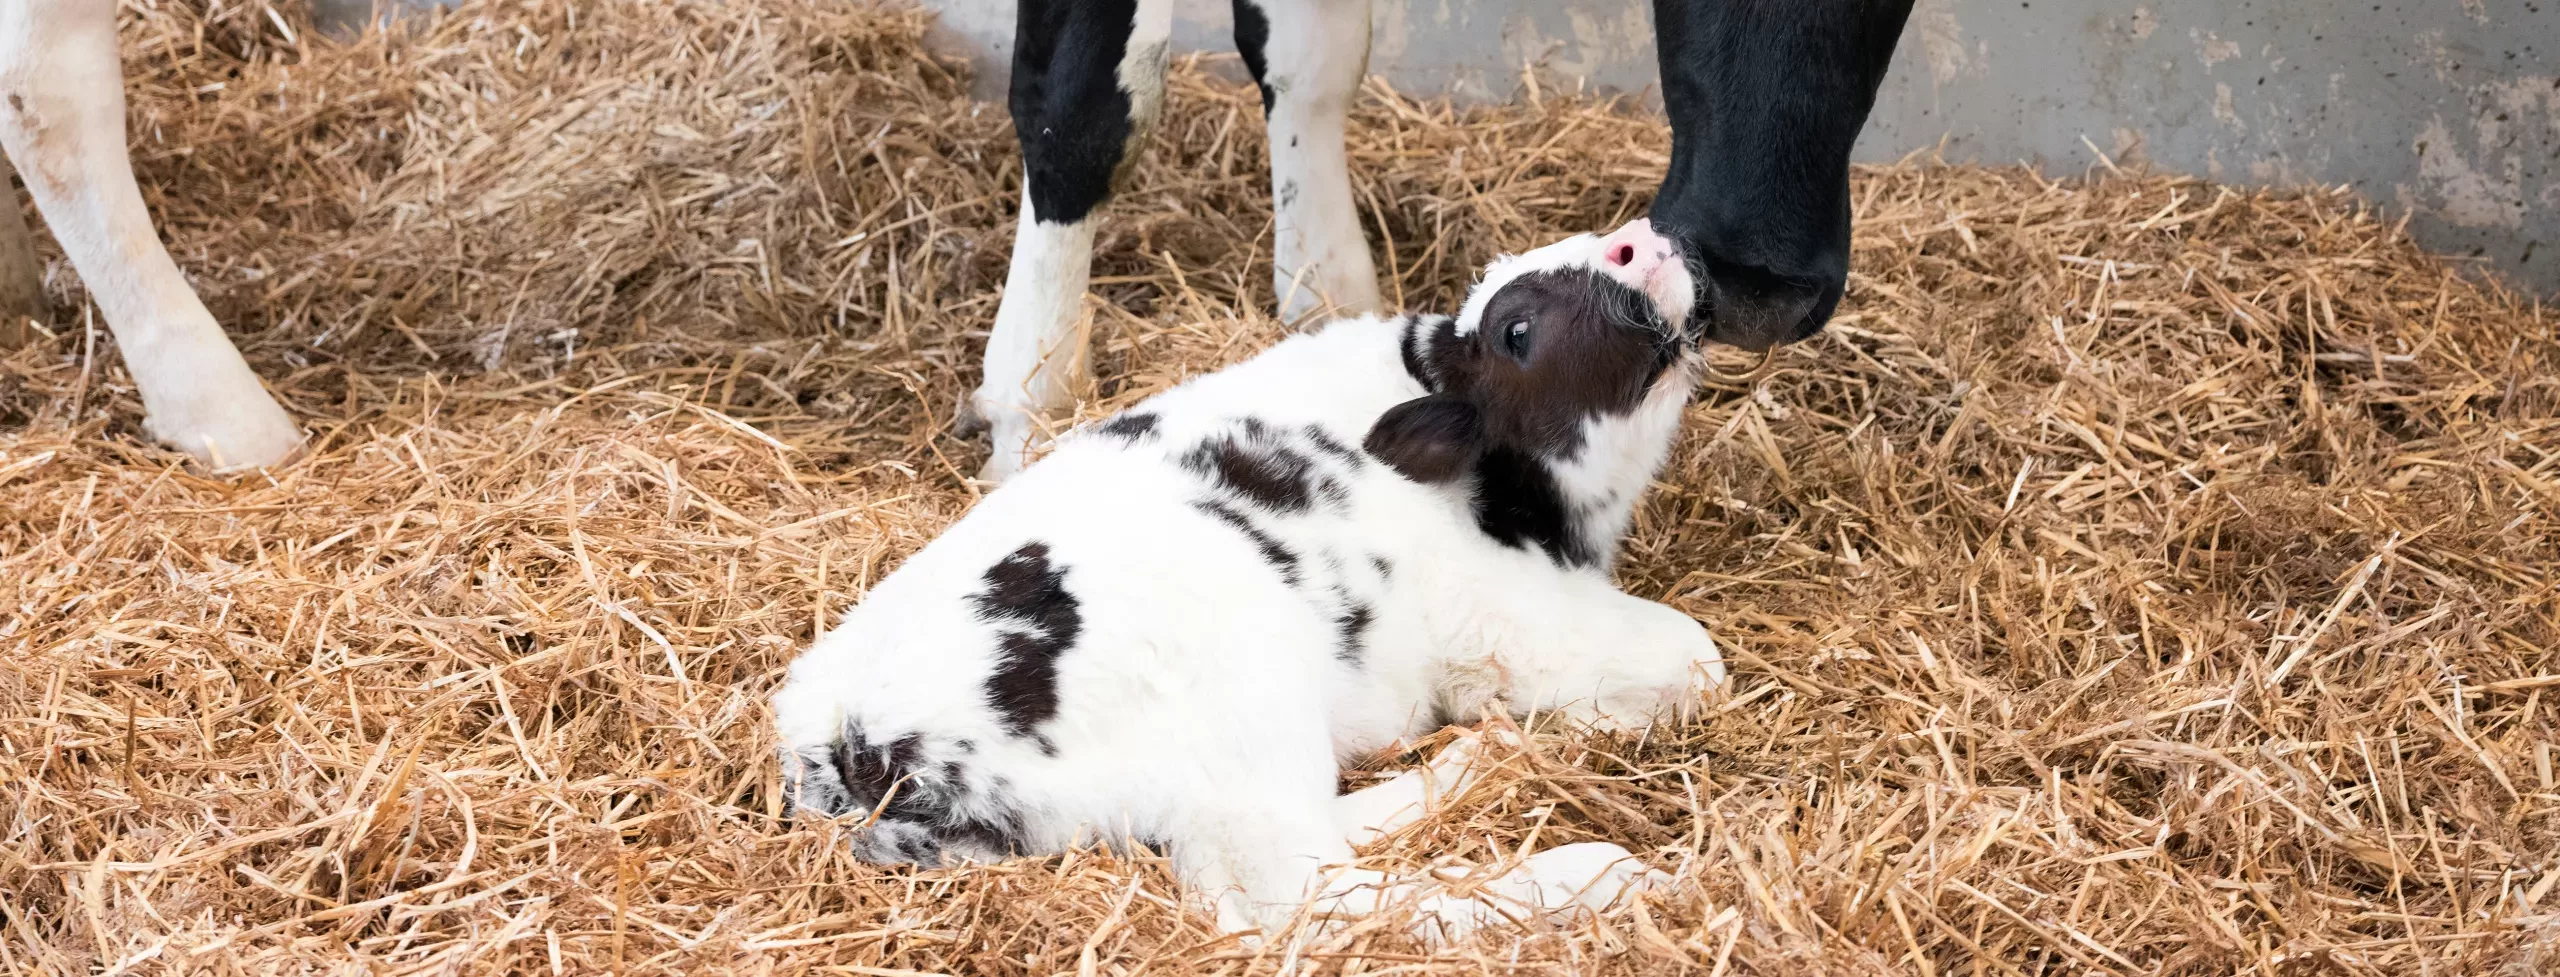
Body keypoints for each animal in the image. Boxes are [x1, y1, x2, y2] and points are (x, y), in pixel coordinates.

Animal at [774, 223, 1730, 936]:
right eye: (1516, 331)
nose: (1640, 239)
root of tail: (846, 746)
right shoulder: (1509, 615)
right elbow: (1697, 660)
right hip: (1243, 711)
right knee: (1309, 897)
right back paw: (1596, 872)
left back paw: (1479, 757)